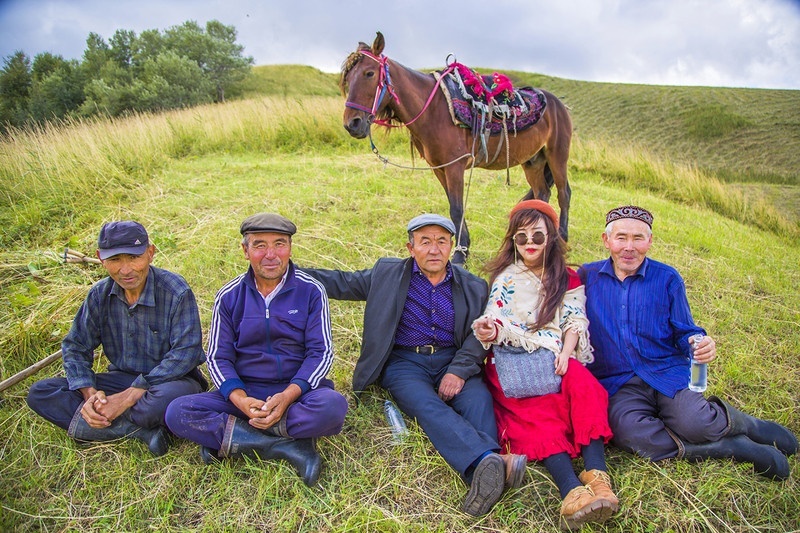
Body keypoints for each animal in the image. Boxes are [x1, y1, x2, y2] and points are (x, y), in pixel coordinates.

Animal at [340, 31, 572, 264]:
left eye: (369, 73)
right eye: (348, 79)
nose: (352, 124)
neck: (433, 110)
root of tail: (558, 104)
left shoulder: (455, 167)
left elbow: (457, 209)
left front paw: (459, 254)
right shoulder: (440, 168)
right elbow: (453, 208)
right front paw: (464, 248)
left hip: (557, 156)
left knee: (564, 193)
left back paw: (561, 238)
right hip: (533, 161)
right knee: (542, 193)